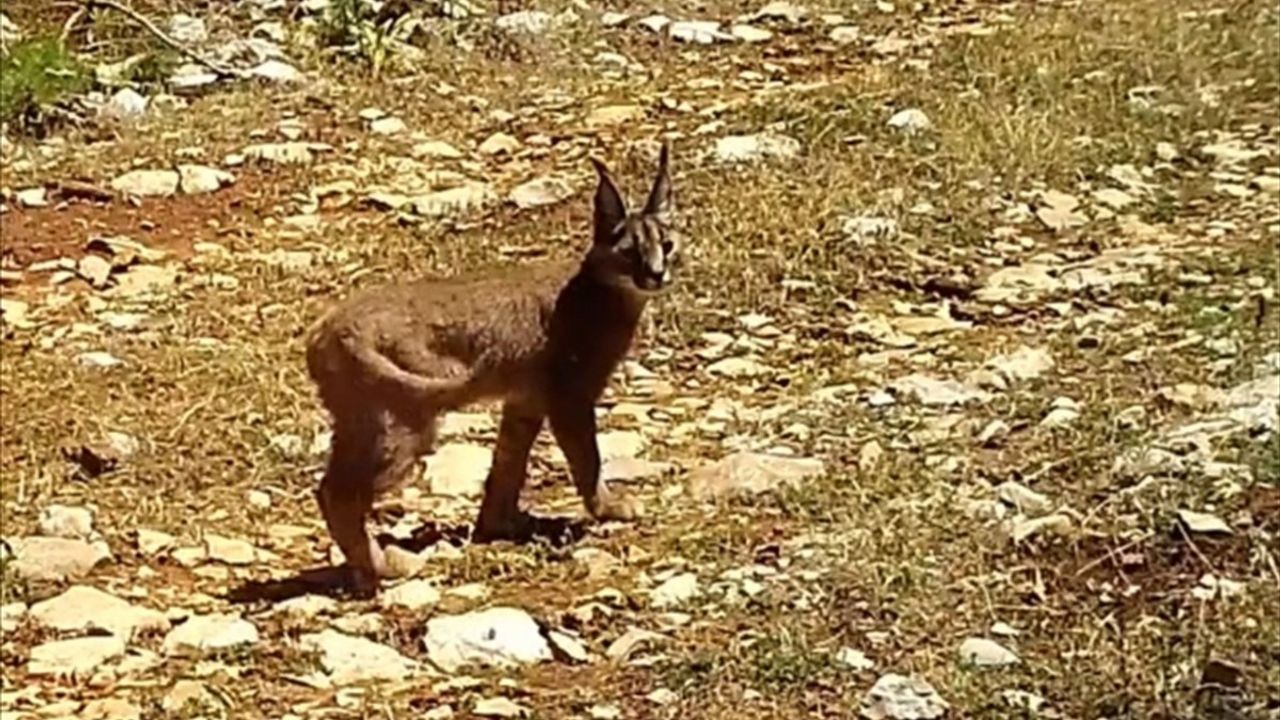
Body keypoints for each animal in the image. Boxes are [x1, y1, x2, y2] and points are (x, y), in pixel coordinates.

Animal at [305, 142, 680, 591]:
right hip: (404, 422)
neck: (602, 293)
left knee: (328, 486)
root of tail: (326, 328)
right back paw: (390, 567)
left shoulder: (525, 400)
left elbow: (508, 460)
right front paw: (608, 508)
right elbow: (587, 458)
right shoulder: (570, 397)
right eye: (629, 252)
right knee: (338, 494)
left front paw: (499, 523)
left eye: (668, 244)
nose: (656, 274)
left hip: (361, 420)